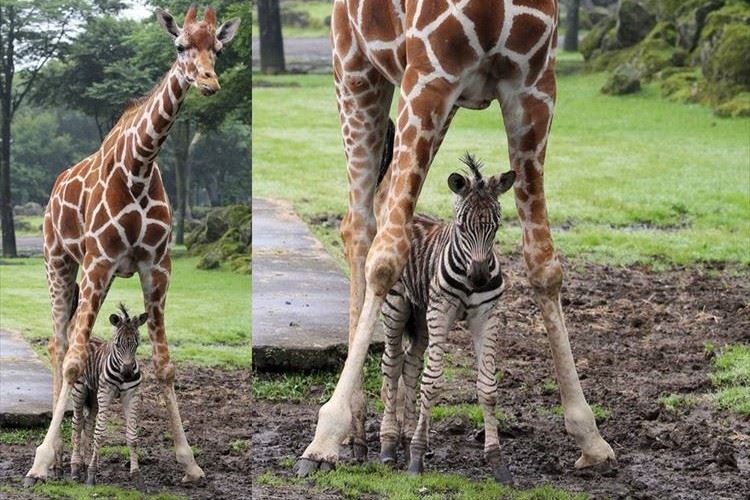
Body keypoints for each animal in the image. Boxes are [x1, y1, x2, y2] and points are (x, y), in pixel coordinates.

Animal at [72, 304, 150, 488]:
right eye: (117, 344)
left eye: (137, 343)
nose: (128, 373)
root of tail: (90, 337)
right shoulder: (106, 393)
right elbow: (99, 434)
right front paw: (92, 475)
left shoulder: (132, 395)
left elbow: (132, 436)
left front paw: (136, 474)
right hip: (80, 390)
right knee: (77, 424)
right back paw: (76, 467)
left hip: (94, 394)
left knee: (88, 423)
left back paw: (86, 461)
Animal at [382, 155, 516, 484]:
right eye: (461, 226)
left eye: (496, 226)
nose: (479, 278)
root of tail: (412, 215)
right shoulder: (441, 311)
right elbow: (431, 382)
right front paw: (416, 459)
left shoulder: (487, 316)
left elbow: (488, 388)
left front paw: (498, 463)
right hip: (396, 305)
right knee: (391, 365)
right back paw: (389, 445)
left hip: (420, 315)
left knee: (410, 364)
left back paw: (405, 438)